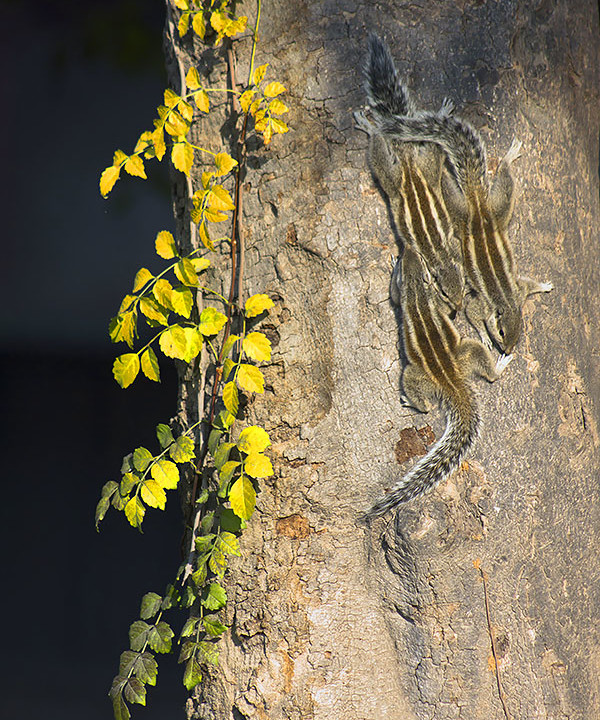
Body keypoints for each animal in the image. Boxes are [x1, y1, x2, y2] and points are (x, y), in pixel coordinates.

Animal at [354, 35, 465, 311]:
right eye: (444, 293)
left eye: (463, 283)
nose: (459, 306)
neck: (440, 256)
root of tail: (407, 162)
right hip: (393, 178)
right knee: (380, 150)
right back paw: (370, 128)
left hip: (426, 167)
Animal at [367, 248, 513, 518]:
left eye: (411, 261)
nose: (407, 250)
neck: (417, 290)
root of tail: (451, 380)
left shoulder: (404, 295)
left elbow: (394, 296)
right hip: (469, 350)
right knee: (487, 372)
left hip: (412, 374)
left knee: (427, 407)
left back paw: (410, 402)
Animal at [376, 103, 553, 353]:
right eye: (501, 332)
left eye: (520, 330)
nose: (508, 351)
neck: (506, 300)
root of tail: (477, 202)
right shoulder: (481, 305)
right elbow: (473, 315)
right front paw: (485, 337)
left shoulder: (519, 290)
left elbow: (529, 284)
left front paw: (544, 286)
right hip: (460, 209)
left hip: (500, 208)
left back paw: (509, 156)